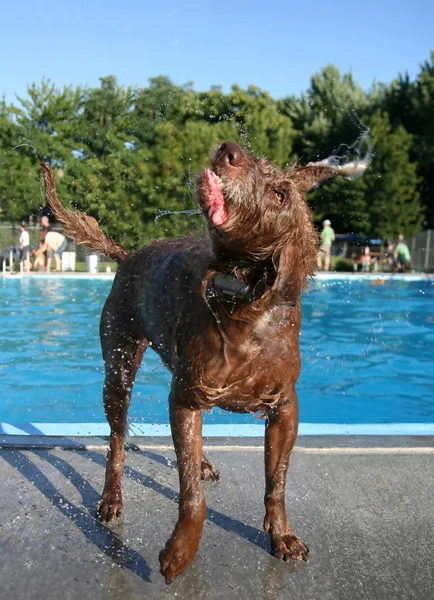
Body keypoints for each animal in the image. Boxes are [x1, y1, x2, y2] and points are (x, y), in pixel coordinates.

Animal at [39, 141, 366, 580]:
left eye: (280, 194)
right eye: (260, 167)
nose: (230, 149)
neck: (244, 303)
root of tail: (129, 254)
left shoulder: (283, 408)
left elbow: (276, 482)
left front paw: (281, 535)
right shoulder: (186, 397)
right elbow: (190, 493)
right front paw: (182, 548)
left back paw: (203, 463)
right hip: (119, 368)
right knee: (117, 443)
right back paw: (111, 496)